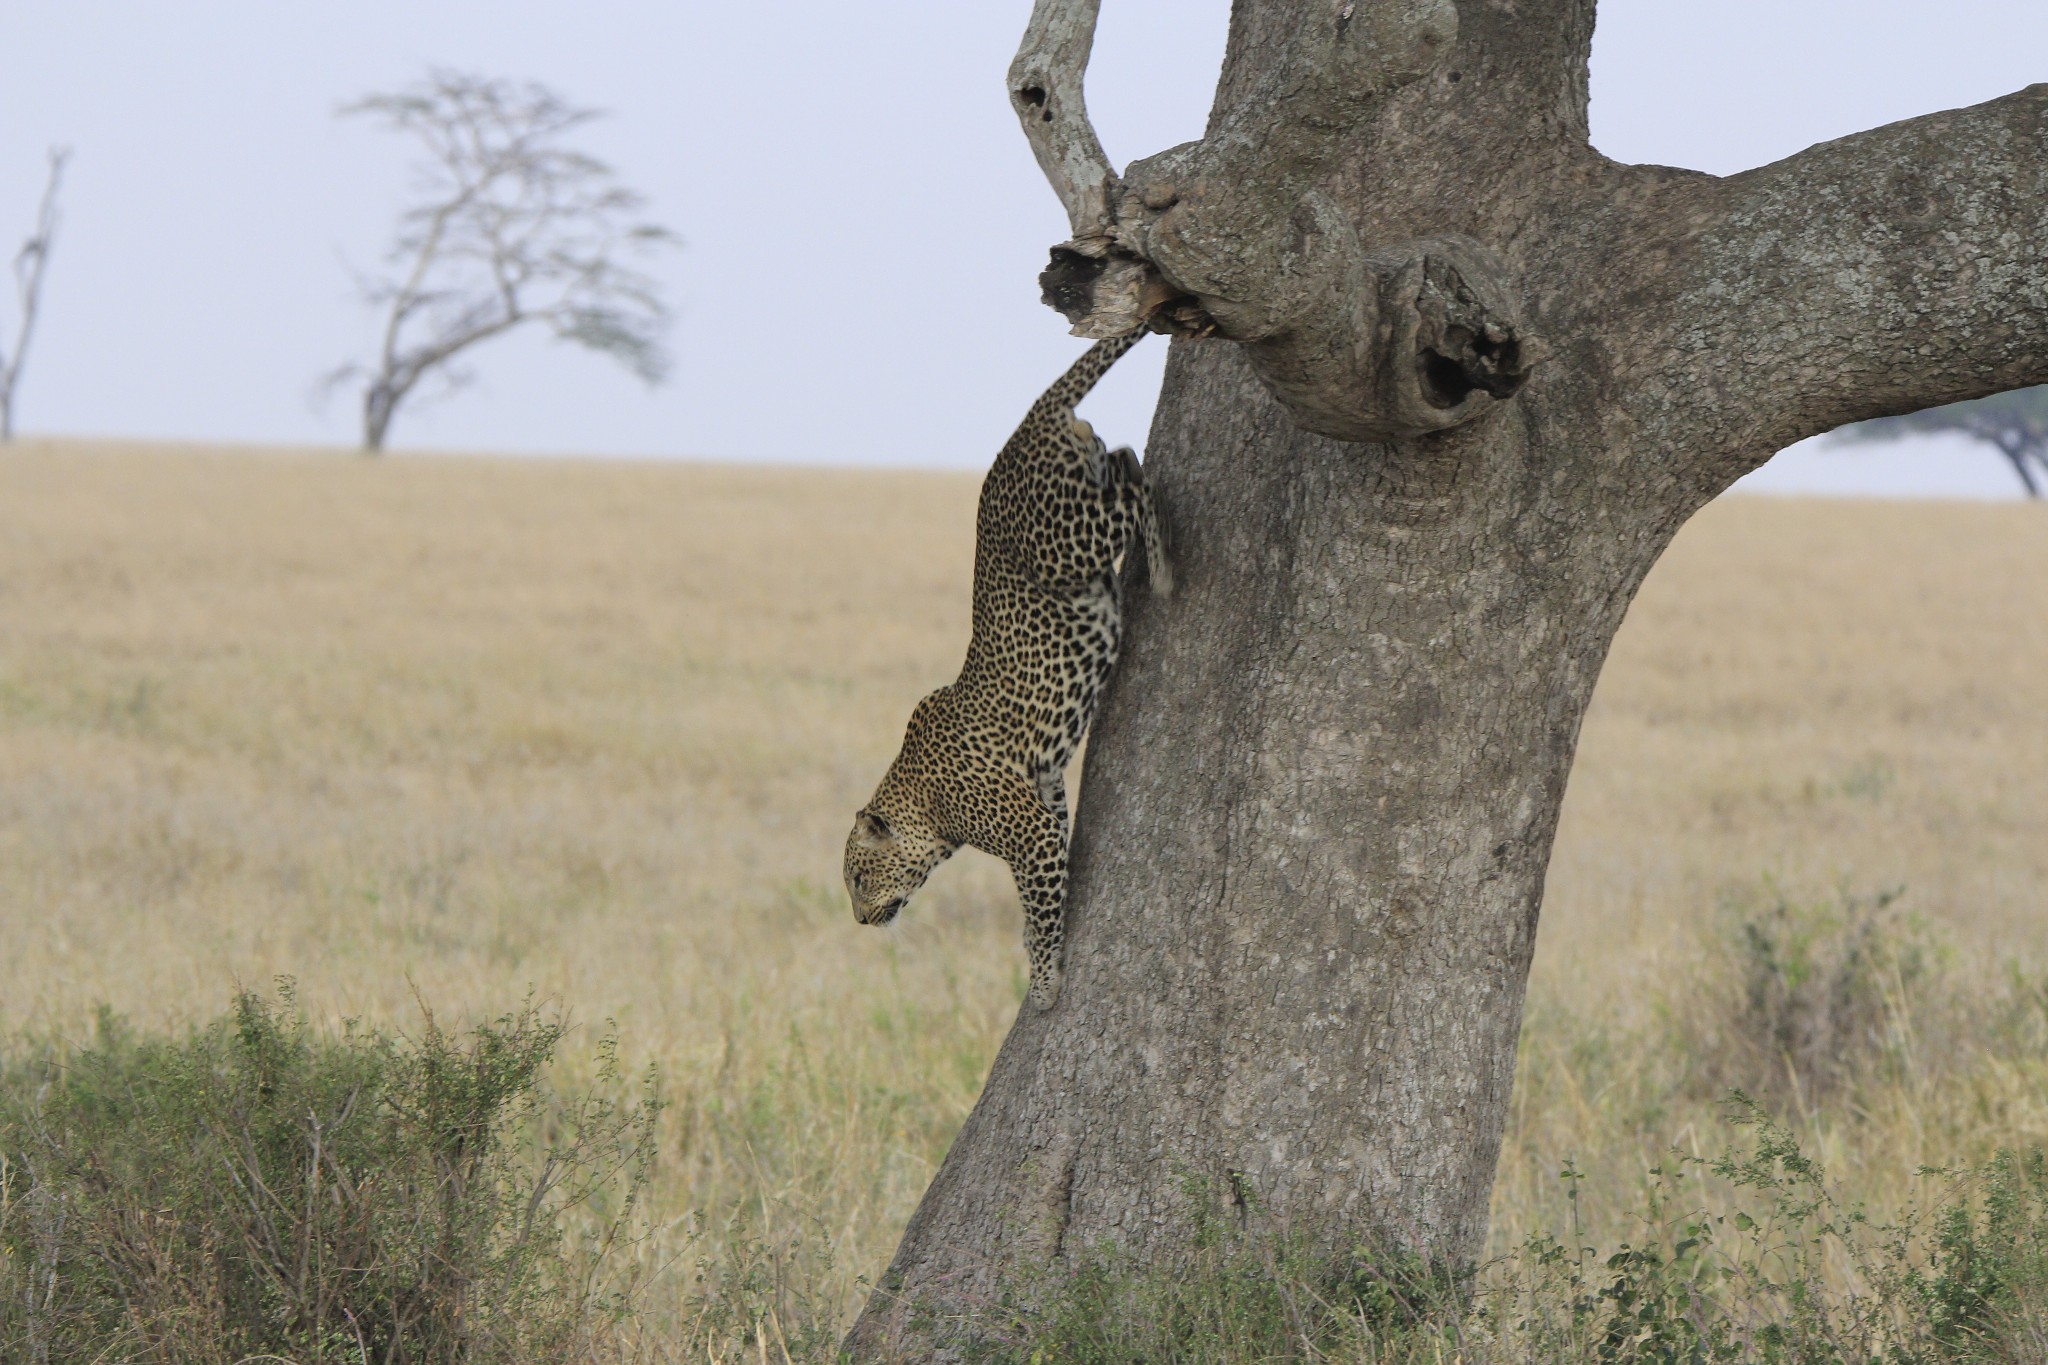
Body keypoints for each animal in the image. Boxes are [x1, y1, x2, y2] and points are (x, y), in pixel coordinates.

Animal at [843, 331, 1171, 1010]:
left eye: (859, 878)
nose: (858, 921)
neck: (926, 806)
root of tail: (1024, 427)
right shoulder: (1046, 796)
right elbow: (1043, 889)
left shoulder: (1031, 836)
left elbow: (1040, 909)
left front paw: (1043, 984)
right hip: (1081, 498)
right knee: (1125, 458)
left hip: (1068, 542)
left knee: (1139, 490)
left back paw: (1162, 568)